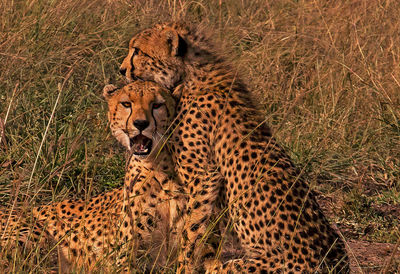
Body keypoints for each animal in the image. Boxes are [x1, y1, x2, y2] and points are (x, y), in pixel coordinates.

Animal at [0, 81, 185, 272]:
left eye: (157, 105)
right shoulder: (124, 259)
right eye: (126, 104)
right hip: (31, 236)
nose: (140, 123)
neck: (160, 169)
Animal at [119, 22, 350, 272]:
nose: (121, 70)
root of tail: (336, 262)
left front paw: (185, 265)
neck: (192, 74)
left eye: (138, 51)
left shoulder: (204, 177)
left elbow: (192, 229)